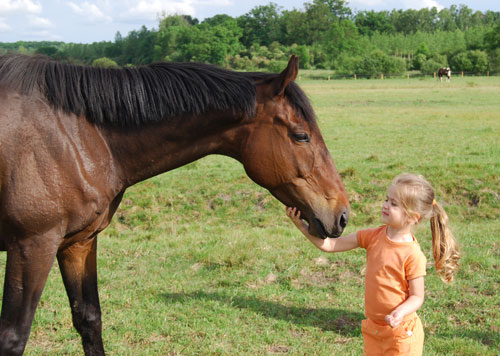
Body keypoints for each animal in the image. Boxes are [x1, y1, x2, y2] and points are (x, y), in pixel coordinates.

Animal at [0, 54, 350, 354]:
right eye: (301, 136)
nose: (343, 214)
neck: (78, 137)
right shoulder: (32, 246)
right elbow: (13, 337)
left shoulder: (78, 243)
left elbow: (89, 320)